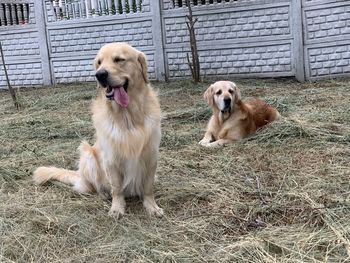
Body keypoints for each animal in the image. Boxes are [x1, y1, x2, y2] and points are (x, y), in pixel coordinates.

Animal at [33, 43, 163, 220]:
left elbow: (148, 187)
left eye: (119, 59)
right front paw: (117, 208)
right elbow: (117, 188)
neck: (127, 117)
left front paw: (151, 206)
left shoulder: (151, 155)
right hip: (88, 154)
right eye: (99, 63)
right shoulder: (110, 159)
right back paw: (104, 194)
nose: (100, 75)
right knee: (93, 186)